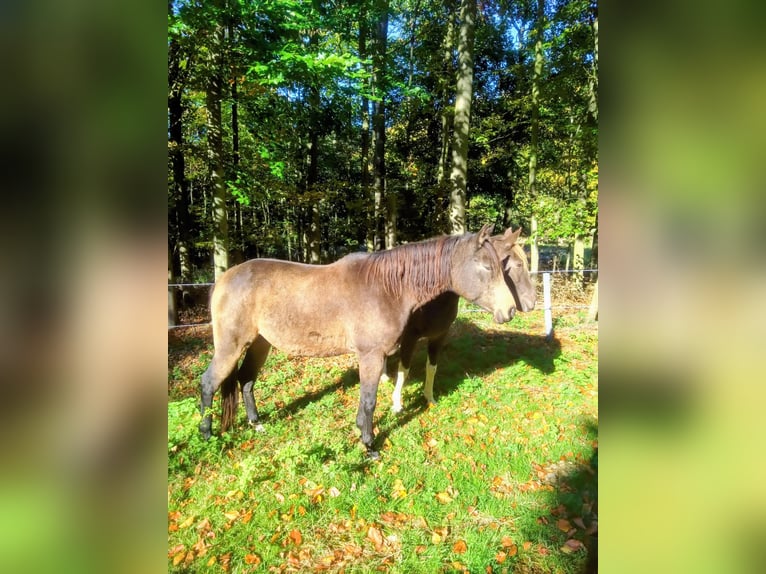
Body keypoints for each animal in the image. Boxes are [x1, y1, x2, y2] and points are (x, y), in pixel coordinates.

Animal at [199, 224, 516, 458]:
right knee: (209, 382)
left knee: (246, 380)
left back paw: (257, 424)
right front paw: (369, 445)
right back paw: (206, 434)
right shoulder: (371, 356)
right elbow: (369, 401)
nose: (510, 310)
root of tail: (224, 279)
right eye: (486, 267)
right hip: (231, 346)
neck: (387, 288)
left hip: (260, 343)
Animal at [383, 227, 536, 413]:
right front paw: (397, 404)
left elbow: (432, 367)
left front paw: (429, 398)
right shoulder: (409, 338)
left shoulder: (439, 335)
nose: (531, 303)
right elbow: (404, 370)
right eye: (519, 265)